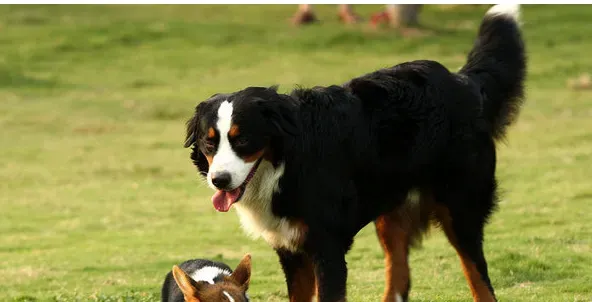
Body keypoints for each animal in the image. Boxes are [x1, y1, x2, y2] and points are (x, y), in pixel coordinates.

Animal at [183, 4, 524, 302]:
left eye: (242, 140)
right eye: (210, 143)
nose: (219, 180)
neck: (286, 163)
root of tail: (461, 80)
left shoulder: (327, 246)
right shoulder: (291, 249)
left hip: (460, 207)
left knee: (479, 277)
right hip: (391, 212)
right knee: (400, 275)